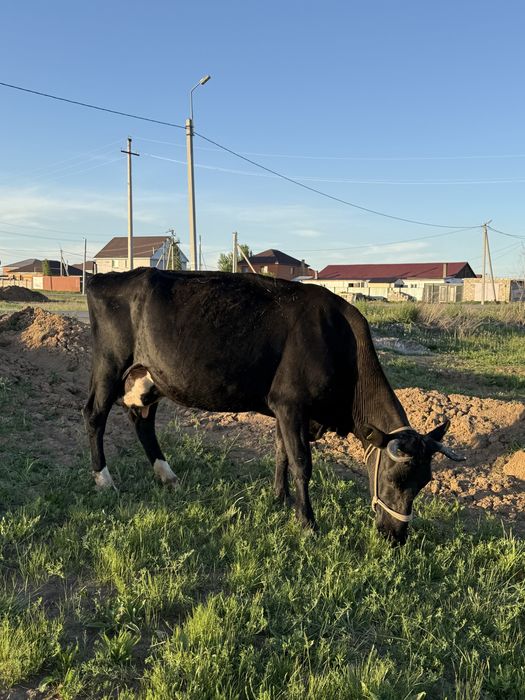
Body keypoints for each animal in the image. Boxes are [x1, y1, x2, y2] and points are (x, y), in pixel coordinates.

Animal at [83, 268, 463, 545]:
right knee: (95, 415)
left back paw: (168, 476)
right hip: (110, 365)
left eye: (425, 482)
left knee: (142, 419)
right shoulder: (291, 403)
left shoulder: (286, 410)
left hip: (150, 377)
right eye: (394, 478)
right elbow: (301, 463)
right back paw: (104, 480)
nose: (396, 536)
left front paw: (280, 499)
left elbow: (281, 452)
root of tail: (107, 278)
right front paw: (307, 521)